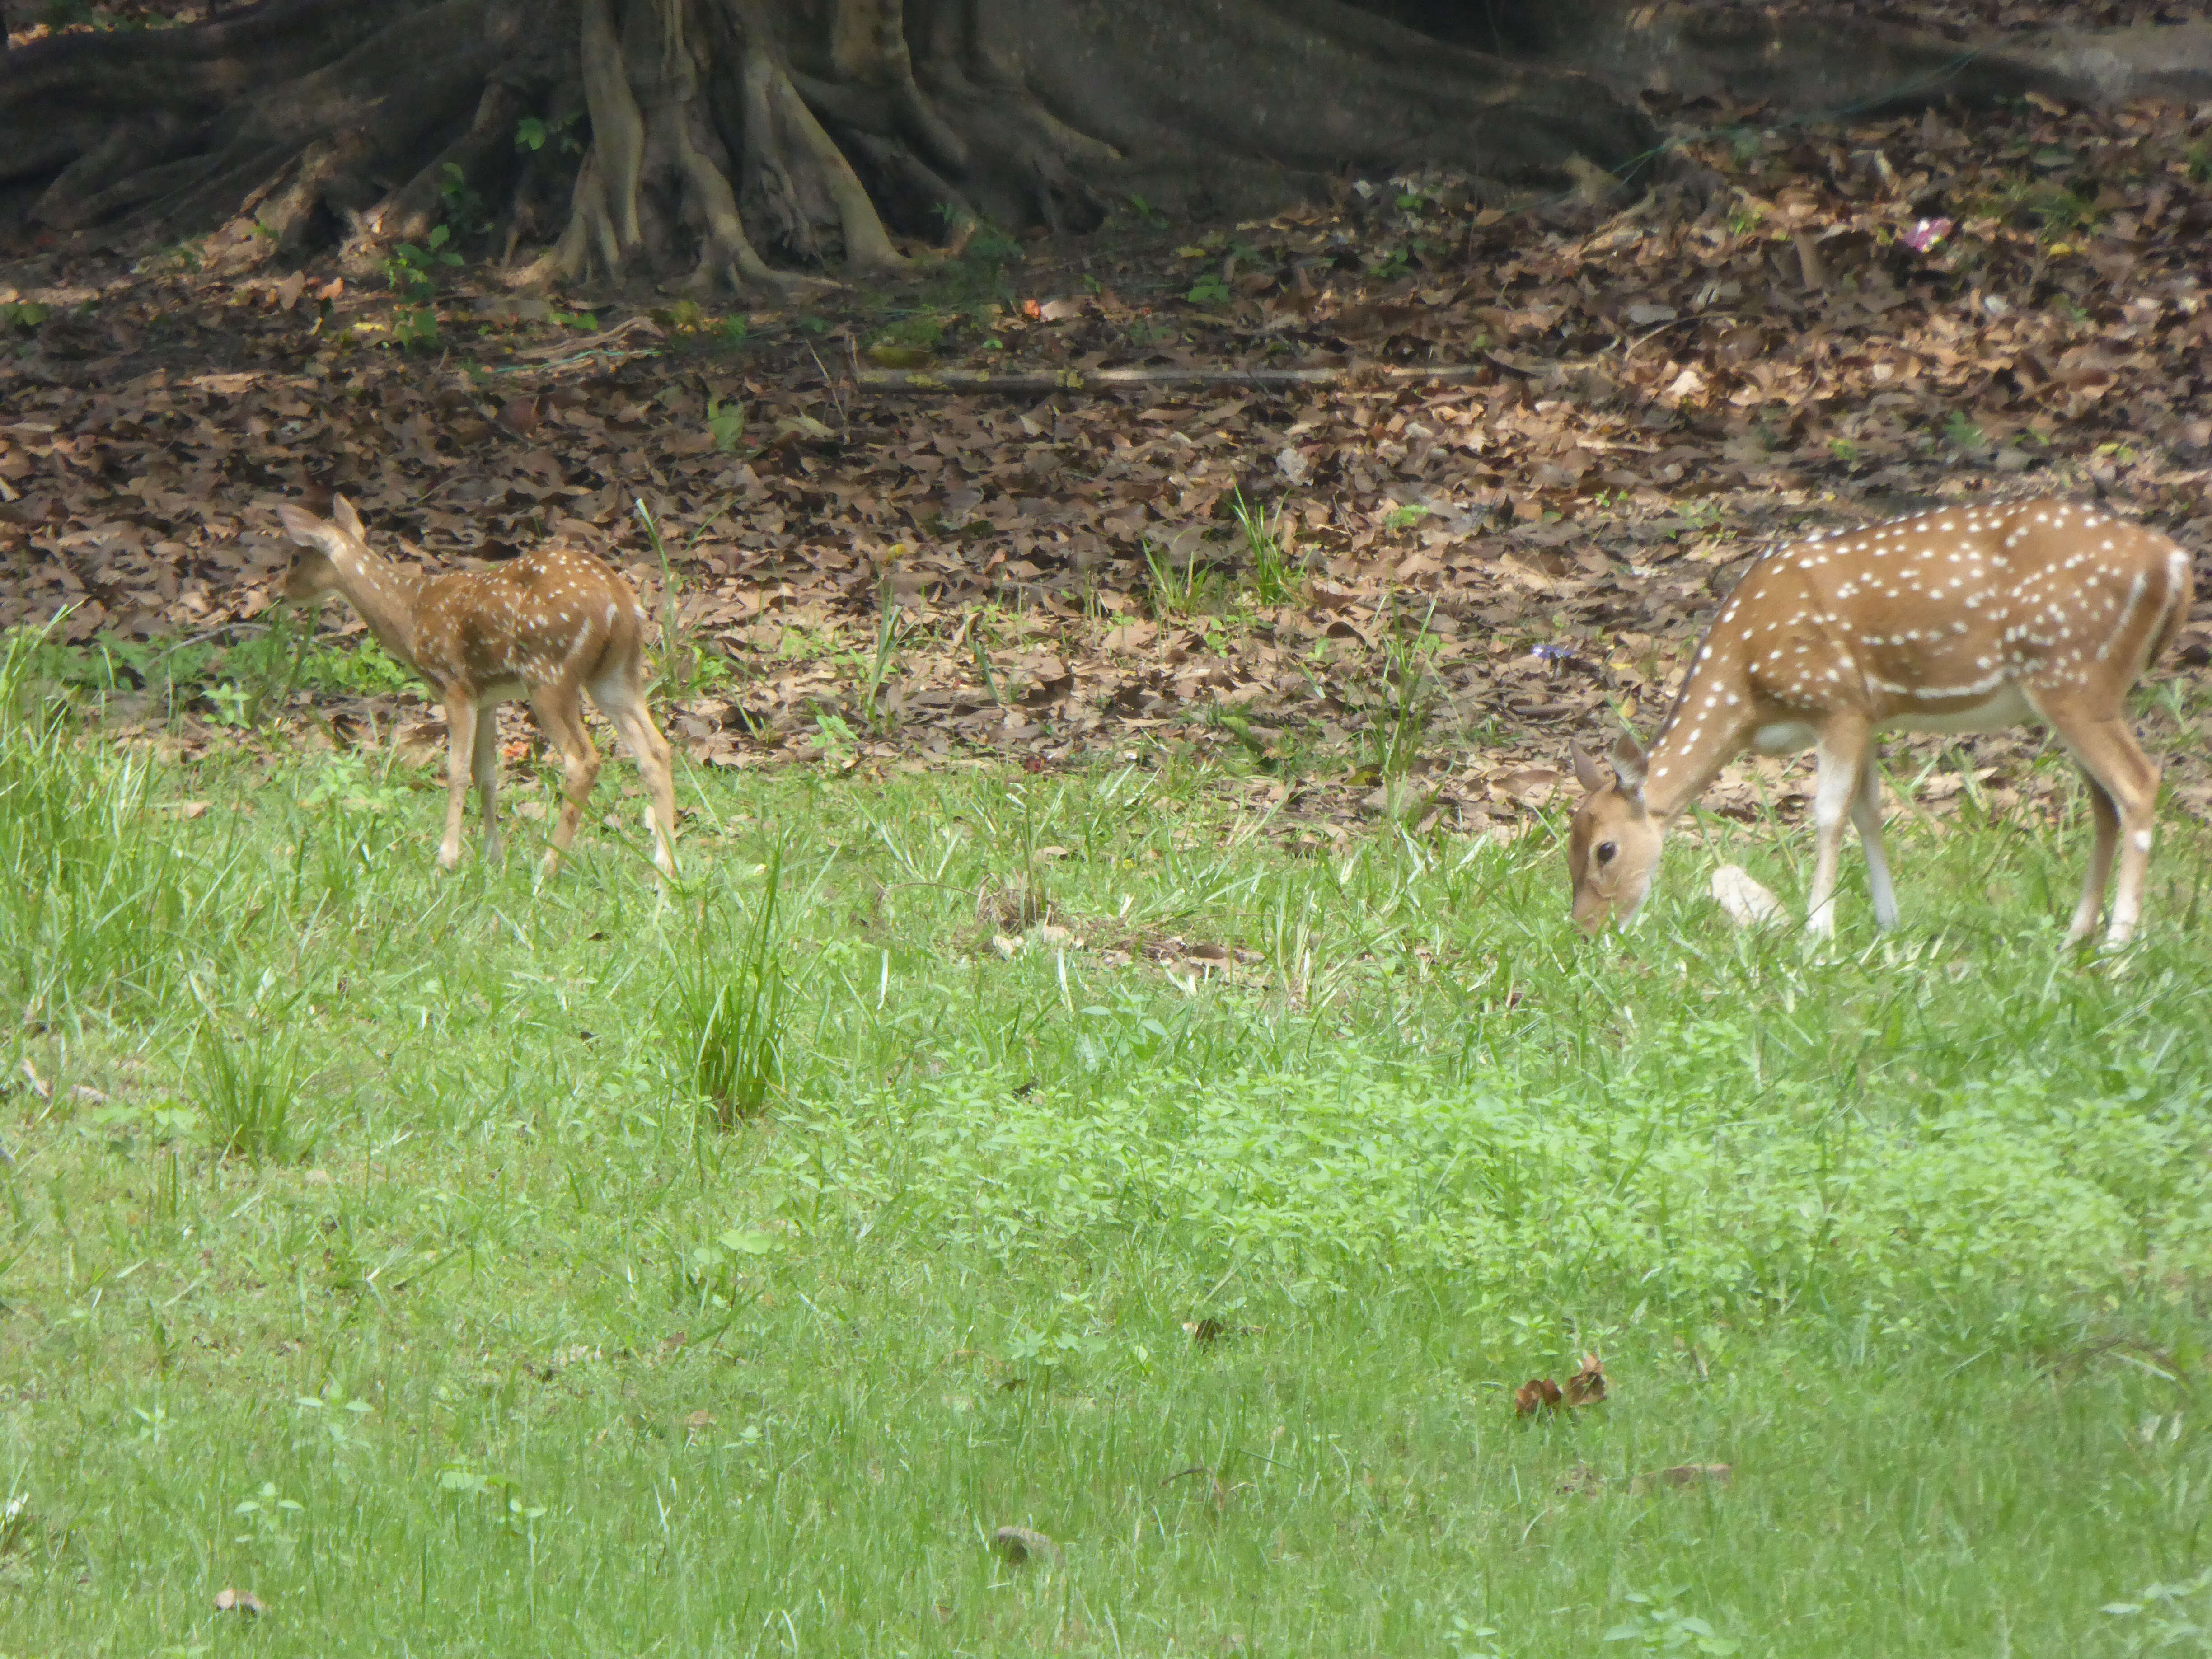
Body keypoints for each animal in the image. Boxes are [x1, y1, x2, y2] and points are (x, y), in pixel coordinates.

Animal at [274, 493, 672, 885]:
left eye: (296, 557)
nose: (278, 594)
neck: (409, 615)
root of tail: (619, 602)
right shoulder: (487, 698)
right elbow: (486, 777)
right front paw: (494, 858)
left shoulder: (456, 686)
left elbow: (456, 772)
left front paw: (447, 860)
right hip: (616, 674)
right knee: (657, 750)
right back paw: (664, 870)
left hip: (549, 672)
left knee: (583, 760)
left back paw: (548, 869)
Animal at [1575, 493, 2194, 947]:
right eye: (1569, 844)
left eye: (1605, 849)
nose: (1587, 934)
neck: (1747, 686)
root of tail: (2175, 561)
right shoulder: (1869, 717)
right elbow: (1868, 816)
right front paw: (1887, 927)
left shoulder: (1838, 701)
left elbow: (1828, 815)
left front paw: (1817, 937)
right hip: (2083, 689)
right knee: (2105, 803)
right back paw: (2074, 940)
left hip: (2073, 673)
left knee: (2139, 784)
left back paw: (2117, 948)